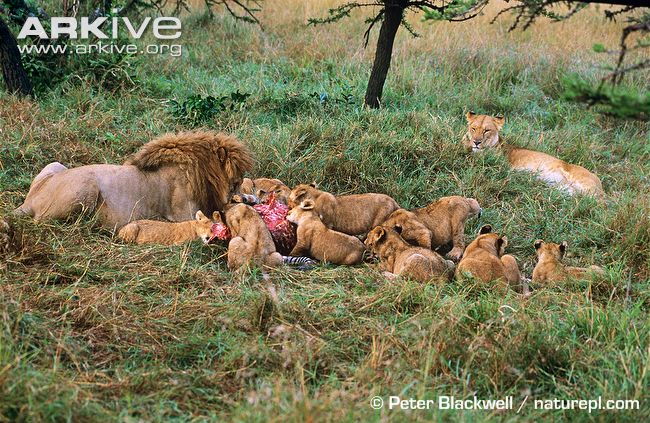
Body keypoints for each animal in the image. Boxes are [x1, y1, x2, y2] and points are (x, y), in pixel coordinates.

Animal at [15, 131, 253, 230]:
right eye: (236, 181)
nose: (242, 197)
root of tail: (30, 201)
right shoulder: (184, 214)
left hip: (55, 164)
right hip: (86, 187)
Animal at [463, 112, 603, 196]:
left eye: (487, 130)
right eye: (473, 128)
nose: (476, 142)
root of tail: (600, 183)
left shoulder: (502, 166)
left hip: (585, 186)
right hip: (567, 190)